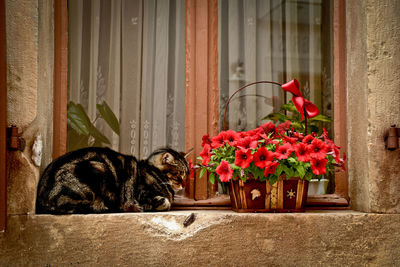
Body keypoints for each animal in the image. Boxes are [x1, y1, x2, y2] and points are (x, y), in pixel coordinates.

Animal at [35, 148, 189, 215]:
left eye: (187, 174)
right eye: (179, 174)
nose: (184, 184)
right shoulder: (142, 194)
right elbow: (165, 202)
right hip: (98, 169)